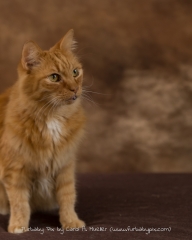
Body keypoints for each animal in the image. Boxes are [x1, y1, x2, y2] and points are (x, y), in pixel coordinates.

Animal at [0, 29, 86, 232]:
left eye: (75, 72)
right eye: (54, 77)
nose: (75, 89)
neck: (52, 117)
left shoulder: (64, 164)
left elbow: (67, 196)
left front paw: (70, 221)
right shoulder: (14, 169)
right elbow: (19, 202)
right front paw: (18, 225)